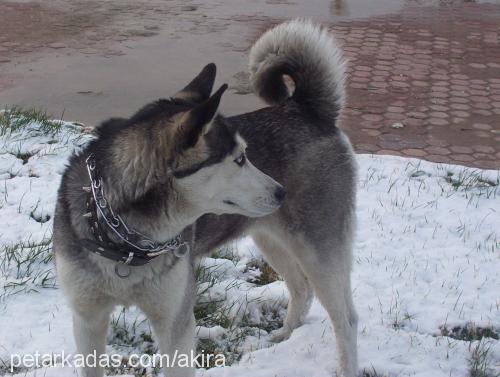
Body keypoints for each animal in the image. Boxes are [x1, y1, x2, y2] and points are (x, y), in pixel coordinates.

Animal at [54, 19, 358, 376]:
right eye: (239, 159)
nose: (281, 191)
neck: (127, 241)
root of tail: (305, 109)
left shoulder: (175, 321)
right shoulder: (87, 318)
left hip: (319, 249)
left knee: (347, 319)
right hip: (270, 237)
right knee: (302, 288)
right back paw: (285, 334)